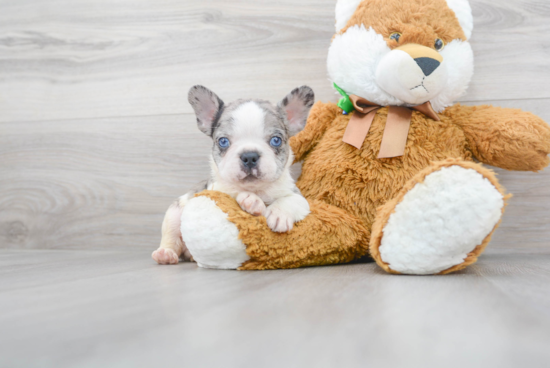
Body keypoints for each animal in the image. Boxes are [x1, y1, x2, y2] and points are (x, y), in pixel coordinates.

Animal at [152, 86, 314, 264]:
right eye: (223, 141)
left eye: (276, 140)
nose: (249, 156)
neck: (256, 189)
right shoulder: (218, 189)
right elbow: (235, 194)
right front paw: (253, 201)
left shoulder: (298, 196)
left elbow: (291, 200)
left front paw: (279, 214)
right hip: (174, 213)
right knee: (171, 237)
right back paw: (165, 254)